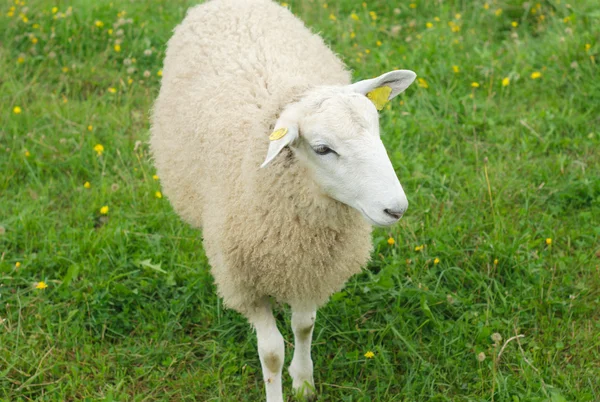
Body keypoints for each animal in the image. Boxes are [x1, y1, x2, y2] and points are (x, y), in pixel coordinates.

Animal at [149, 1, 418, 400]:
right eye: (322, 148)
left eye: (377, 129)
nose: (395, 209)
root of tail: (226, 4)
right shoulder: (245, 282)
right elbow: (272, 352)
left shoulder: (309, 268)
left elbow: (304, 325)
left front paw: (304, 381)